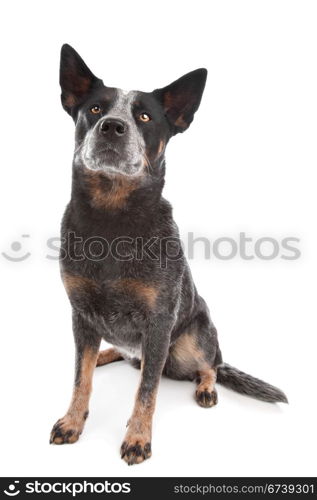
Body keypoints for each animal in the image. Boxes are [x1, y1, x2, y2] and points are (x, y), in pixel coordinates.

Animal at [50, 43, 286, 464]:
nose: (112, 125)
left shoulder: (159, 321)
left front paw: (137, 439)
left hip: (195, 338)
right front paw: (73, 421)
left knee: (209, 364)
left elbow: (146, 391)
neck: (111, 222)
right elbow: (81, 377)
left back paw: (205, 386)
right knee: (112, 356)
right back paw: (107, 354)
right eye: (95, 109)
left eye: (144, 116)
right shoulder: (80, 315)